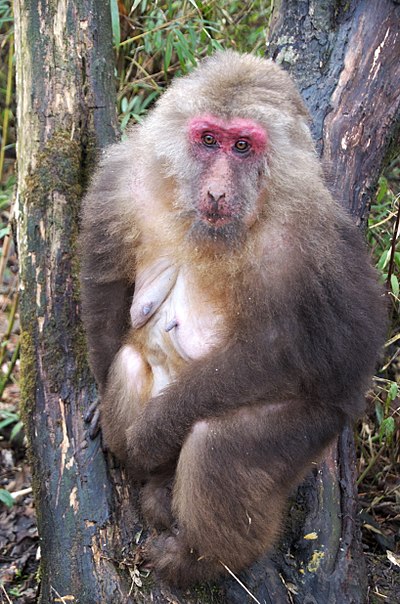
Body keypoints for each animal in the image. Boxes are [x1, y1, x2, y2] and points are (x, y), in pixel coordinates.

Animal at [77, 49, 384, 588]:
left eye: (243, 146)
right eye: (208, 140)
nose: (218, 192)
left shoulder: (316, 246)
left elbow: (311, 358)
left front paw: (152, 437)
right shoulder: (122, 181)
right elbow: (106, 288)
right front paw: (103, 406)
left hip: (312, 433)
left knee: (220, 443)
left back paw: (200, 559)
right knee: (132, 363)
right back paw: (155, 484)